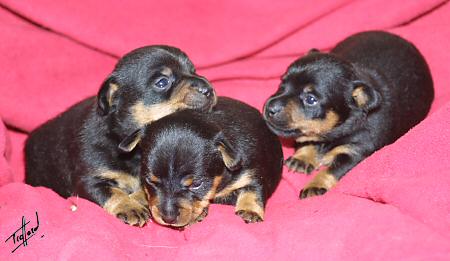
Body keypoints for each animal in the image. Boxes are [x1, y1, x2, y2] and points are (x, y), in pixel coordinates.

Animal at [25, 45, 217, 225]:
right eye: (162, 82)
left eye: (193, 70)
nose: (208, 88)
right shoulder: (89, 180)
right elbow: (112, 192)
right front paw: (129, 206)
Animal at [118, 96, 284, 226]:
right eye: (151, 181)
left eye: (196, 185)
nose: (168, 218)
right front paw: (134, 200)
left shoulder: (254, 173)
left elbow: (252, 191)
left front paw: (249, 211)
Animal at [264, 30, 432, 197]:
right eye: (282, 84)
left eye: (310, 99)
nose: (269, 107)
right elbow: (307, 139)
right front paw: (302, 157)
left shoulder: (355, 151)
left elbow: (332, 170)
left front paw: (315, 185)